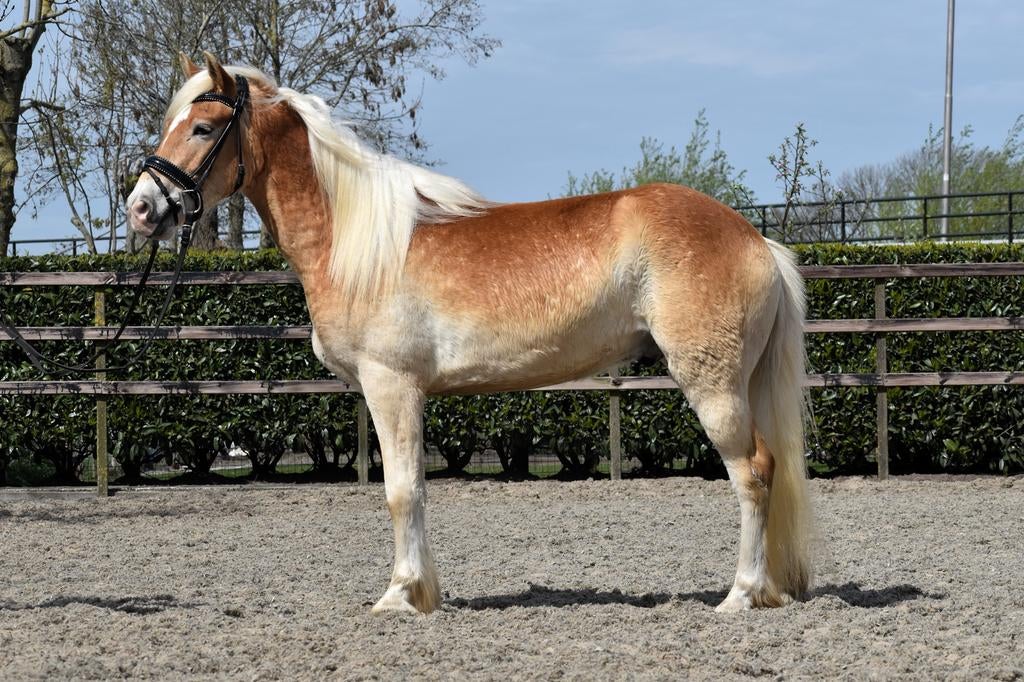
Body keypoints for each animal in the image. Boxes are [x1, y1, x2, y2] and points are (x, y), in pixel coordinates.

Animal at [126, 52, 813, 614]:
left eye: (203, 128)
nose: (140, 208)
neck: (356, 242)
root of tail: (754, 239)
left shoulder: (392, 387)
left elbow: (402, 492)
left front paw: (400, 596)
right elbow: (414, 489)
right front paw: (422, 592)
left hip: (712, 385)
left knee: (752, 472)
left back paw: (741, 595)